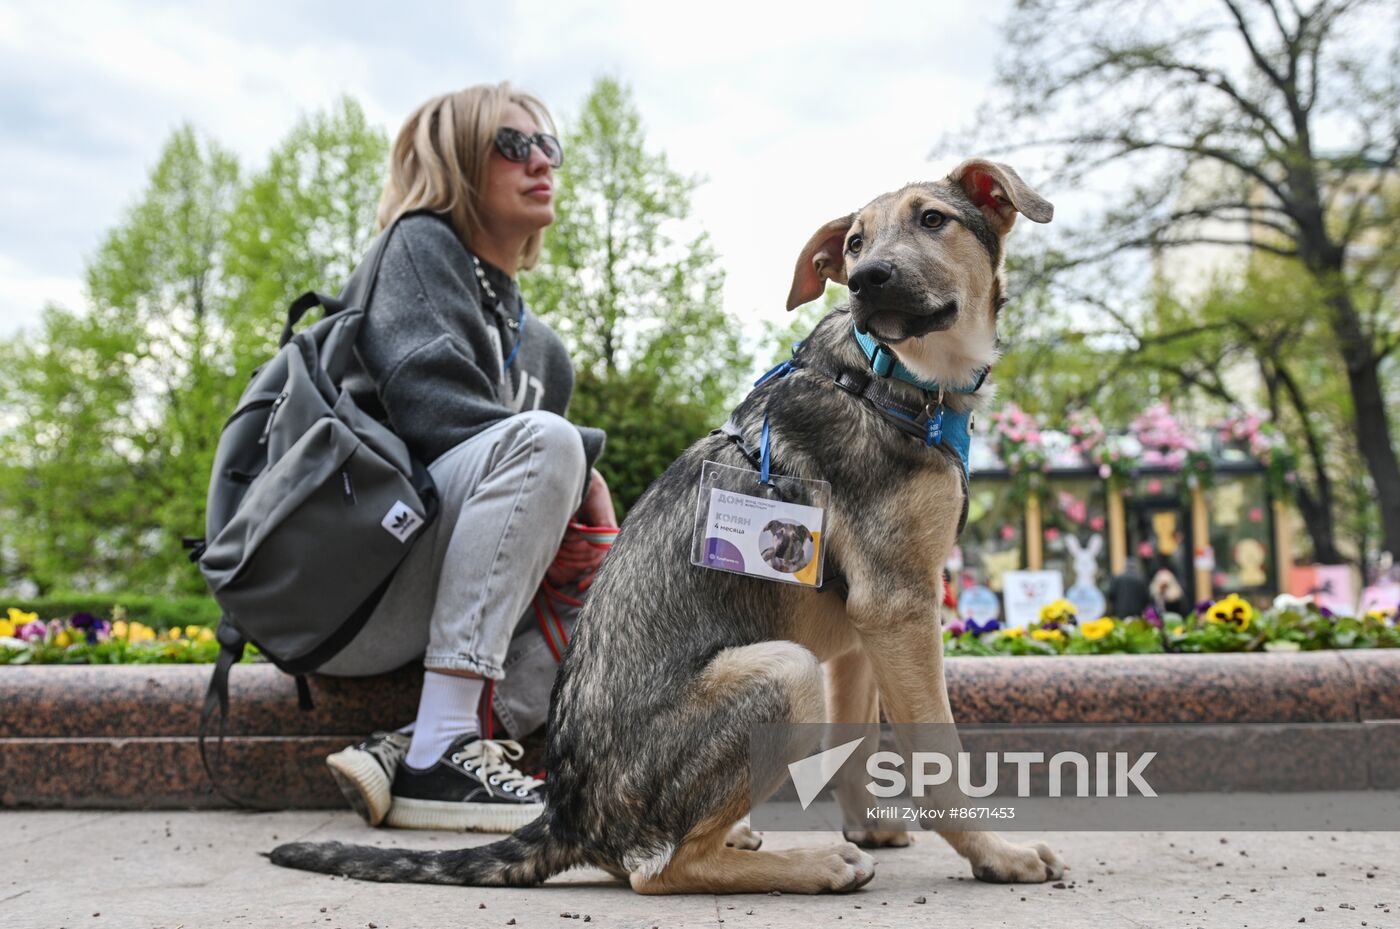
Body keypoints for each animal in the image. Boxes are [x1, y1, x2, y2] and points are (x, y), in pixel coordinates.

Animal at [270, 158, 1058, 895]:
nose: (865, 280)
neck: (890, 376)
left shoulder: (869, 628)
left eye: (932, 220)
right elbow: (940, 757)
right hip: (785, 670)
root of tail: (567, 815)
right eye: (856, 241)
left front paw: (875, 829)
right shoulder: (900, 607)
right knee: (661, 868)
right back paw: (810, 864)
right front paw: (995, 854)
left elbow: (857, 744)